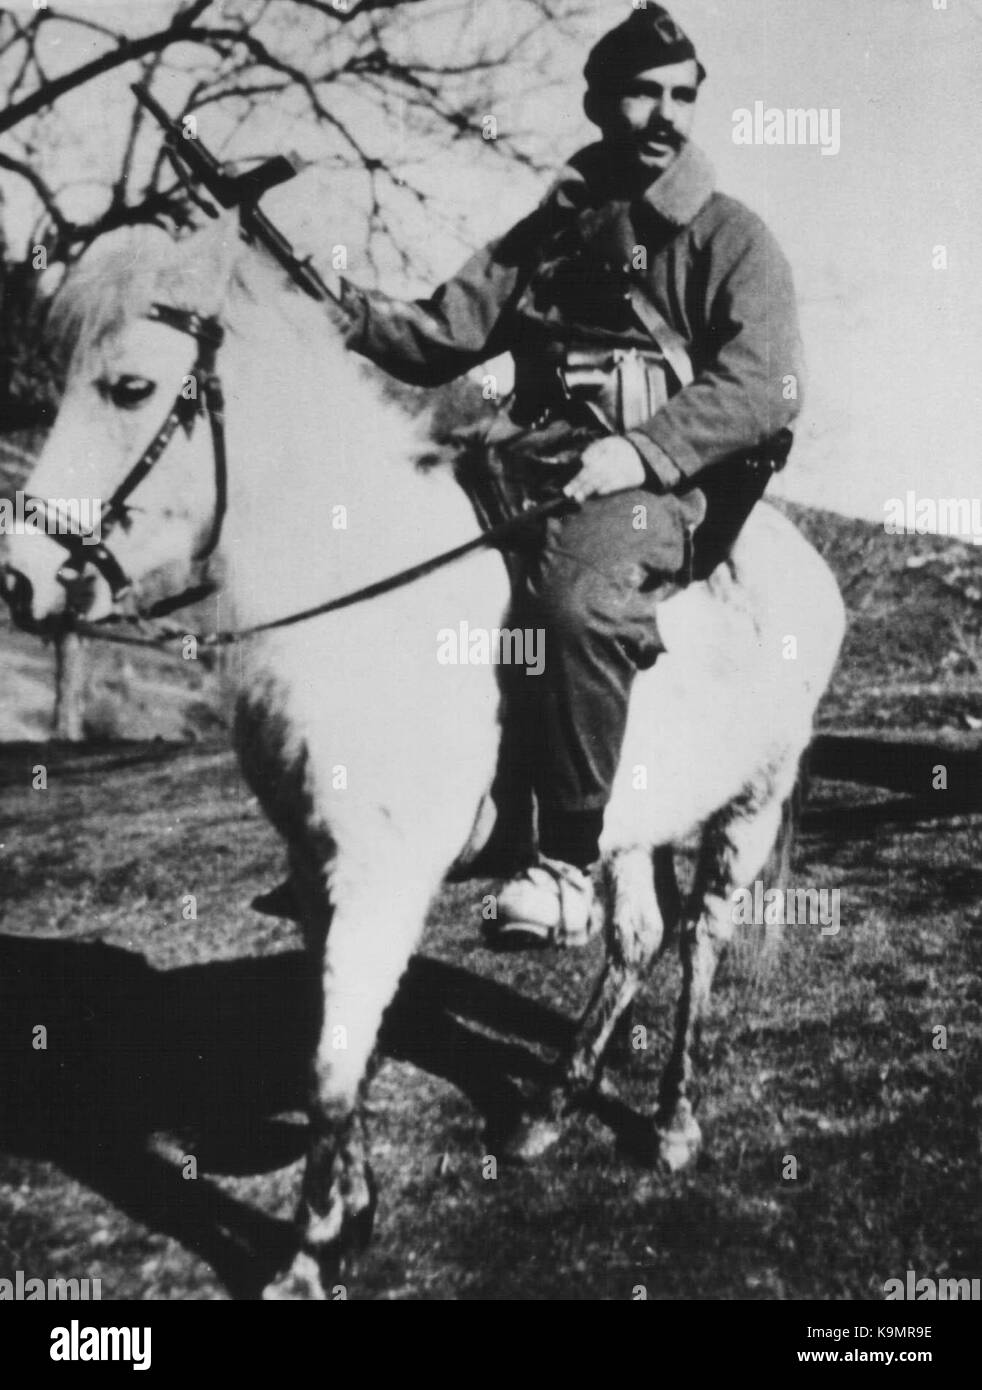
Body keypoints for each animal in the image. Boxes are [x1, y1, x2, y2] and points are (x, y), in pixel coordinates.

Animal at [0, 222, 840, 1295]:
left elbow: (332, 1063)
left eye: (131, 388)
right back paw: (550, 1108)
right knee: (636, 939)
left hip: (749, 808)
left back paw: (672, 1121)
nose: (19, 579)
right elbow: (343, 1049)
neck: (356, 593)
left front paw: (308, 1253)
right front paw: (353, 1217)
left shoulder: (381, 879)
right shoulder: (319, 868)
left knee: (698, 945)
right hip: (629, 822)